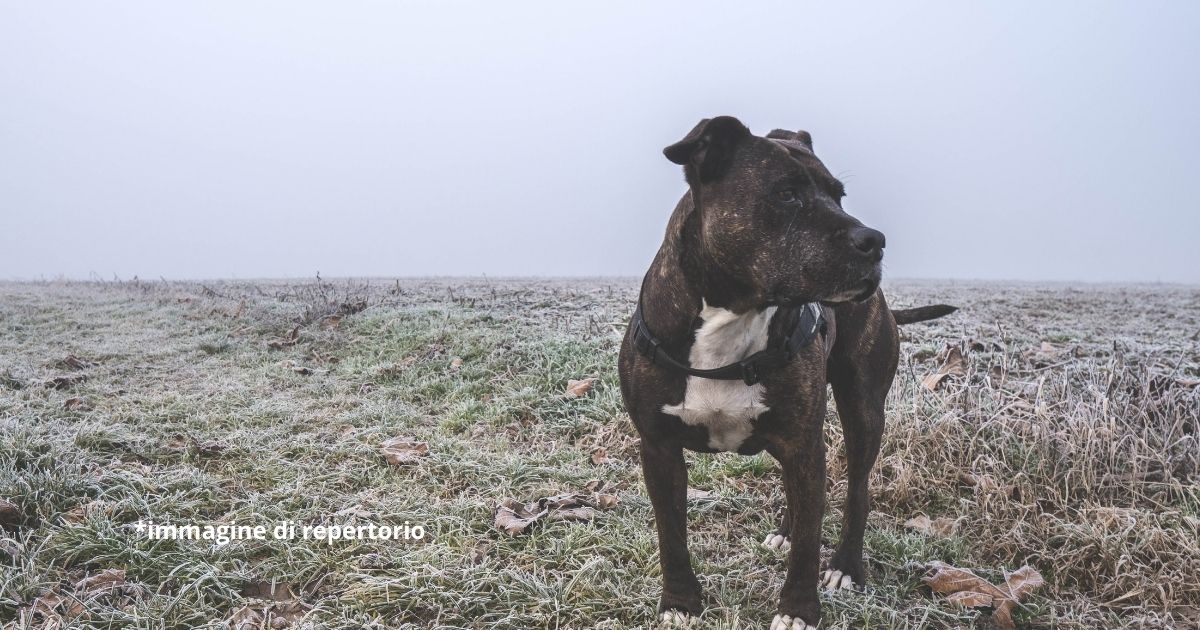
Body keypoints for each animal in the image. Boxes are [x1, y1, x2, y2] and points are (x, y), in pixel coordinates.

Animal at [619, 115, 955, 624]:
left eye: (839, 195)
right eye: (785, 194)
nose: (874, 240)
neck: (734, 317)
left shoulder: (803, 443)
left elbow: (810, 545)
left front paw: (799, 610)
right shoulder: (659, 448)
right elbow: (671, 535)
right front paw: (681, 604)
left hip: (862, 408)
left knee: (856, 488)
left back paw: (845, 566)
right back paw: (787, 529)